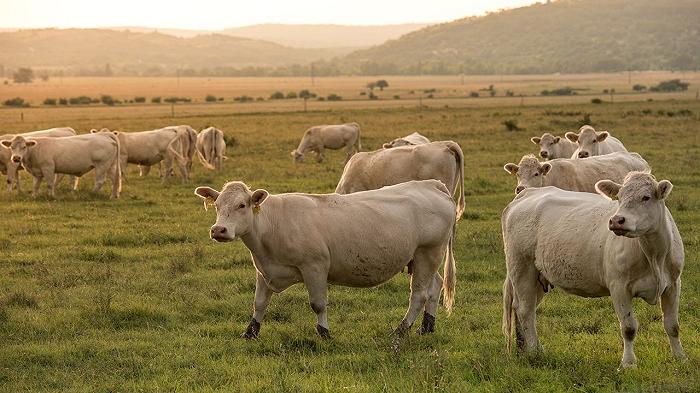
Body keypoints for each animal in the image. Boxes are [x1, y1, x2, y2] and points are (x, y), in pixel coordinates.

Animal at [196, 179, 460, 338]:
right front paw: (250, 332)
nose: (218, 230)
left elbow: (318, 304)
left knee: (419, 294)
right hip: (423, 258)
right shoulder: (265, 270)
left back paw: (401, 330)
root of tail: (431, 184)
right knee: (434, 287)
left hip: (428, 252)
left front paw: (324, 333)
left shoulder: (314, 267)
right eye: (217, 205)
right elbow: (259, 303)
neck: (273, 224)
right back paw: (427, 327)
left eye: (242, 205)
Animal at [504, 172, 688, 368]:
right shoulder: (619, 287)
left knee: (525, 309)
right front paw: (628, 363)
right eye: (619, 197)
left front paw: (680, 357)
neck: (654, 256)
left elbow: (672, 325)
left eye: (646, 197)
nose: (616, 220)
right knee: (525, 310)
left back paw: (528, 349)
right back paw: (534, 352)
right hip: (522, 268)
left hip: (538, 277)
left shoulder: (673, 284)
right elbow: (629, 327)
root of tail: (528, 193)